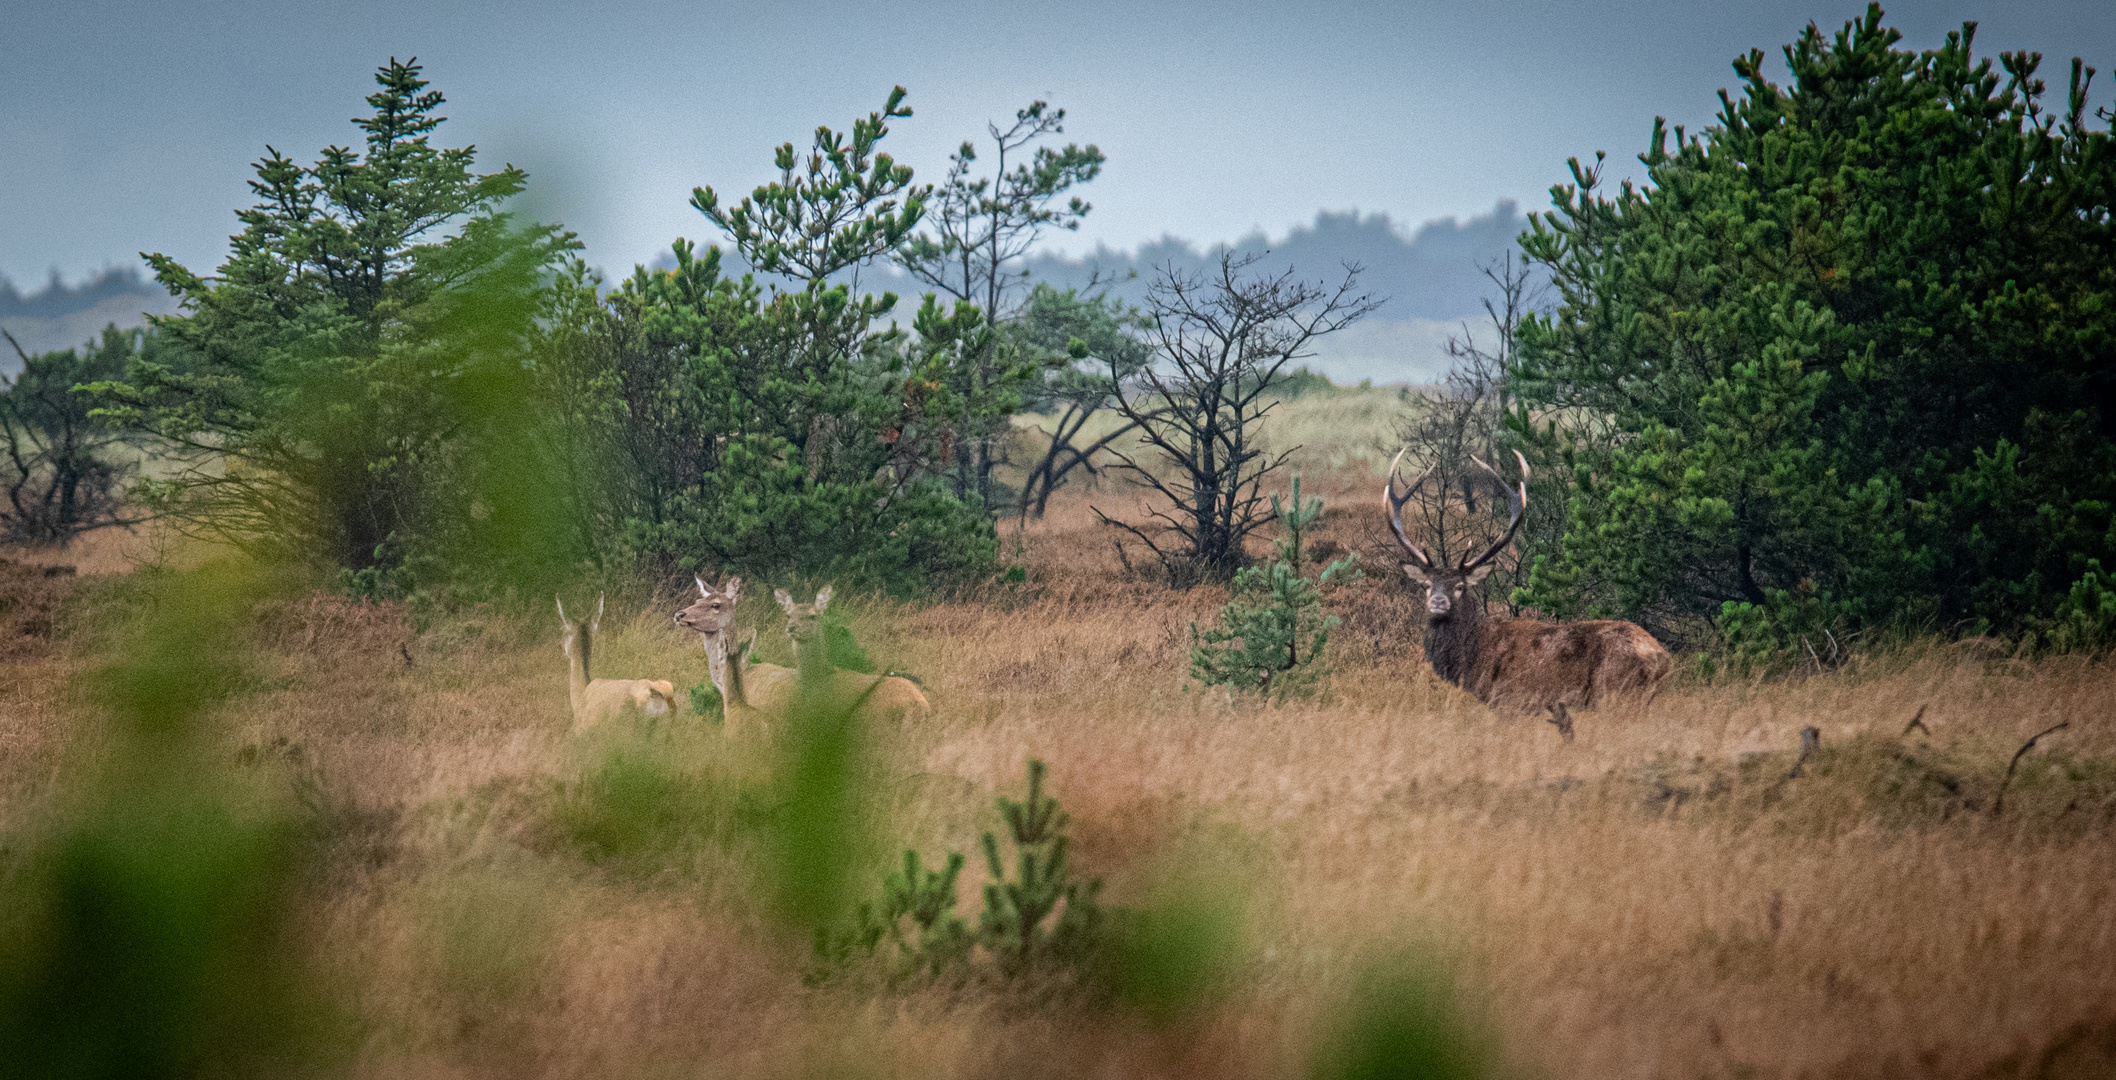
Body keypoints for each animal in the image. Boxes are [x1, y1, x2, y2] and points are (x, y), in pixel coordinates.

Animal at [1388, 442, 1667, 736]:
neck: (1477, 656)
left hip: (1616, 693)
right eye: (1426, 585)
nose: (1438, 602)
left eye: (1460, 586)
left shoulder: (1510, 701)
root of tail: (1662, 658)